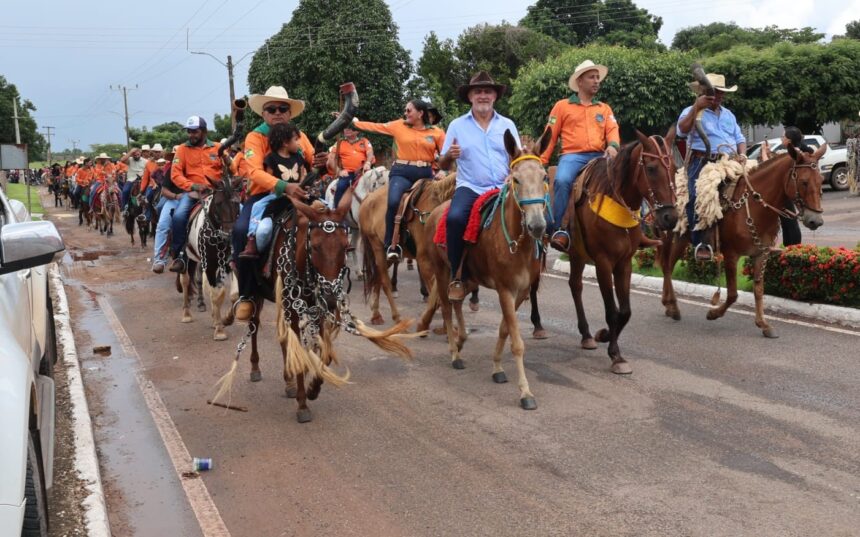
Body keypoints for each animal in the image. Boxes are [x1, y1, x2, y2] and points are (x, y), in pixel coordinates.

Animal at [176, 180, 240, 340]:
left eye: (237, 202)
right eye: (218, 203)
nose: (229, 235)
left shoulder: (228, 263)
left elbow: (232, 294)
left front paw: (226, 318)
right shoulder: (210, 265)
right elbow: (216, 294)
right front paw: (219, 329)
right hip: (187, 258)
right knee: (185, 281)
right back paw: (186, 314)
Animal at [422, 127, 552, 408]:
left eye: (545, 176)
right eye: (516, 180)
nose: (537, 225)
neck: (518, 244)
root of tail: (435, 213)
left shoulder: (521, 293)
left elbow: (504, 330)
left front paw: (497, 368)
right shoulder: (505, 290)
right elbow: (517, 342)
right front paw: (525, 392)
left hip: (466, 277)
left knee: (457, 302)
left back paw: (462, 340)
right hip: (442, 271)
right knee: (446, 309)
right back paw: (454, 352)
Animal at [564, 128, 680, 374]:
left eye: (675, 168)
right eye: (651, 168)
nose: (670, 217)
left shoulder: (624, 263)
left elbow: (624, 312)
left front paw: (606, 338)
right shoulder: (603, 263)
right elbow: (611, 310)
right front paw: (615, 355)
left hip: (577, 253)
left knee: (575, 285)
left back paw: (586, 335)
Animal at [660, 142, 828, 336]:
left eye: (821, 180)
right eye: (804, 182)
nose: (816, 220)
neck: (755, 207)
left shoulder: (761, 254)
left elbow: (758, 290)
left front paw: (763, 323)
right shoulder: (731, 255)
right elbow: (733, 294)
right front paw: (713, 313)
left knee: (667, 266)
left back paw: (668, 304)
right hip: (678, 238)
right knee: (667, 267)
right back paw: (672, 306)